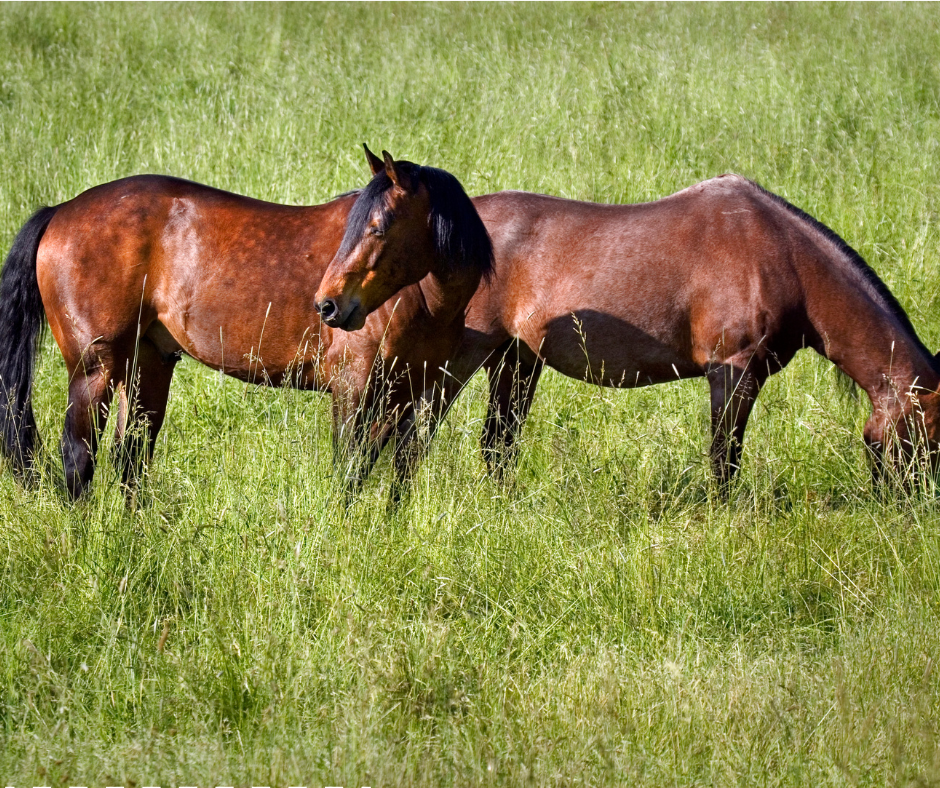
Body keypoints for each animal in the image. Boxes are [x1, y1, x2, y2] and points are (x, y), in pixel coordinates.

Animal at [0, 148, 492, 500]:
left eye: (377, 228)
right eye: (360, 224)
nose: (328, 306)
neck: (423, 300)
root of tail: (61, 210)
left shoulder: (409, 397)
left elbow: (398, 480)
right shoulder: (353, 390)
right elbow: (349, 477)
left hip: (146, 364)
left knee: (132, 459)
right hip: (94, 369)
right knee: (79, 460)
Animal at [316, 168, 940, 489]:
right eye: (932, 437)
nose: (918, 510)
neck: (781, 257)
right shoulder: (734, 374)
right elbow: (724, 461)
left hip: (516, 362)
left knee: (495, 445)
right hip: (459, 363)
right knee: (404, 438)